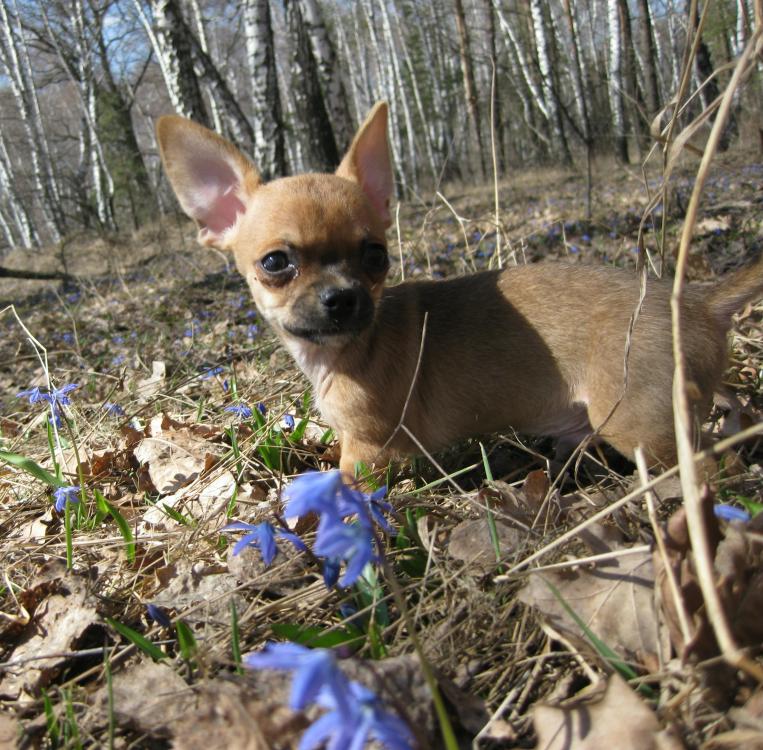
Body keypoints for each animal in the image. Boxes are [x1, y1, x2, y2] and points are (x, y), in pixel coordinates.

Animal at [156, 102, 763, 477]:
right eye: (276, 263)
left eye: (375, 255)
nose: (342, 297)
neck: (344, 352)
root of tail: (698, 301)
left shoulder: (367, 452)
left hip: (640, 426)